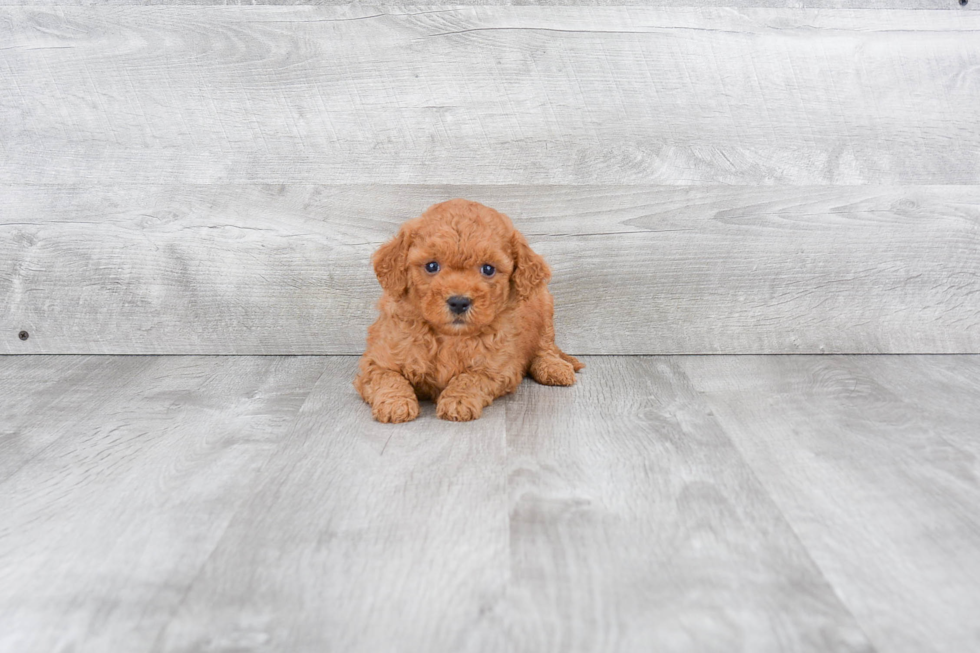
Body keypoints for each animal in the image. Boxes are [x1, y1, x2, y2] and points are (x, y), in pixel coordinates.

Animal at [352, 199, 580, 422]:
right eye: (432, 266)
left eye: (488, 269)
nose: (459, 302)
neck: (449, 337)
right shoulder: (377, 360)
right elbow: (388, 377)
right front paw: (396, 404)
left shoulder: (496, 368)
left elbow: (471, 378)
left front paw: (458, 401)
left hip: (544, 304)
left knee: (545, 346)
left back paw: (554, 367)